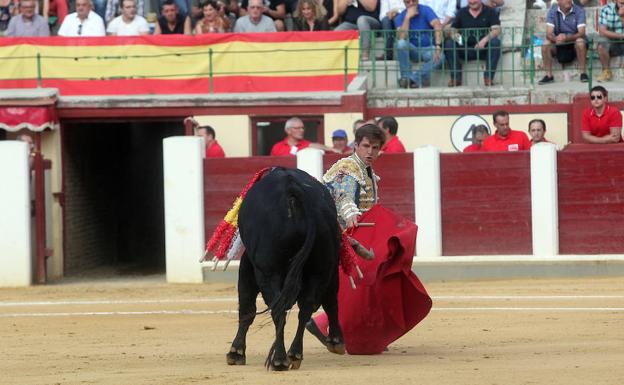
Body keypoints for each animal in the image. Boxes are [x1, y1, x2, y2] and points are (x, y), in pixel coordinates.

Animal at [227, 167, 346, 368]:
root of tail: (293, 191)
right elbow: (329, 300)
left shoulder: (248, 265)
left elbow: (247, 306)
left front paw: (236, 352)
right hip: (321, 267)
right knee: (308, 306)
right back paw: (296, 353)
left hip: (269, 273)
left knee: (278, 310)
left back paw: (280, 359)